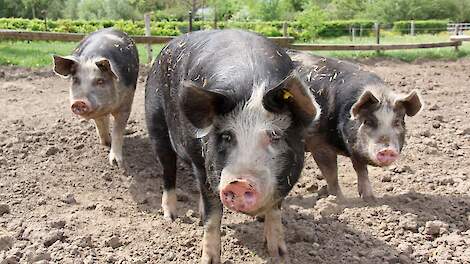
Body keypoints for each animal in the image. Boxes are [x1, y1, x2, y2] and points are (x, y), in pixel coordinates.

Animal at [53, 27, 139, 168]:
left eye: (100, 81)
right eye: (76, 79)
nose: (79, 102)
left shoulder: (126, 103)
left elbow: (118, 131)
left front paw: (116, 164)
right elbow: (100, 123)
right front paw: (106, 143)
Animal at [145, 29, 322, 262]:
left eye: (274, 135)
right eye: (227, 136)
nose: (239, 182)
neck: (253, 84)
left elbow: (275, 210)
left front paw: (279, 254)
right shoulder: (205, 167)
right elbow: (214, 215)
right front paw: (208, 260)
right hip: (156, 125)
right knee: (168, 171)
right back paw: (171, 217)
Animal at [288, 49, 424, 201]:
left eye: (397, 122)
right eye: (368, 121)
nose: (387, 150)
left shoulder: (356, 148)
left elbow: (361, 169)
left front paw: (370, 199)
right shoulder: (317, 142)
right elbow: (331, 173)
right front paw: (339, 200)